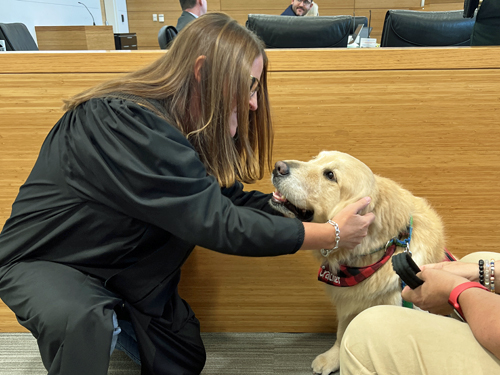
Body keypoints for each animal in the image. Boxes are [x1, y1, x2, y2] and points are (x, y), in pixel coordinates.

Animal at [272, 151, 448, 374]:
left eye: (330, 175)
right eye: (315, 158)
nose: (277, 167)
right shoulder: (349, 301)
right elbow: (342, 332)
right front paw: (334, 357)